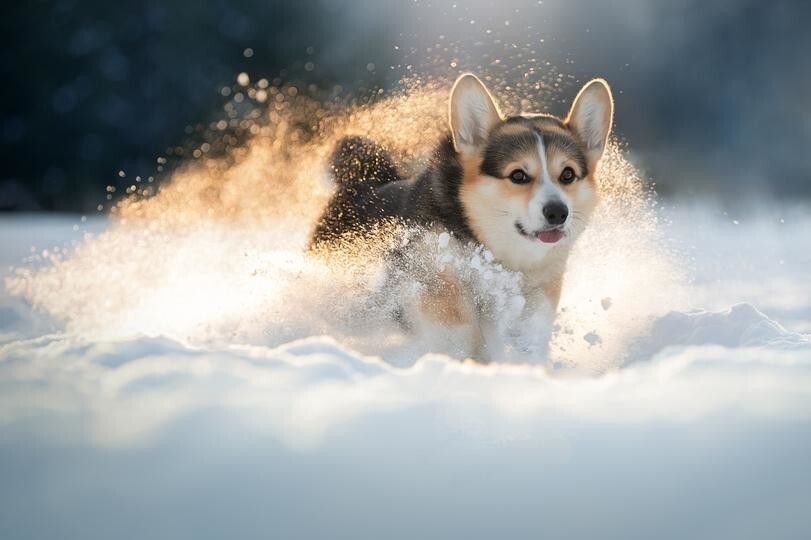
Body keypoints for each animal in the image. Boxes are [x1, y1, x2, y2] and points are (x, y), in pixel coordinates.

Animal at [312, 71, 616, 358]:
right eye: (518, 175)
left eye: (568, 175)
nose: (557, 212)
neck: (498, 256)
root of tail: (360, 182)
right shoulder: (436, 277)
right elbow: (460, 327)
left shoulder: (539, 292)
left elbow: (529, 333)